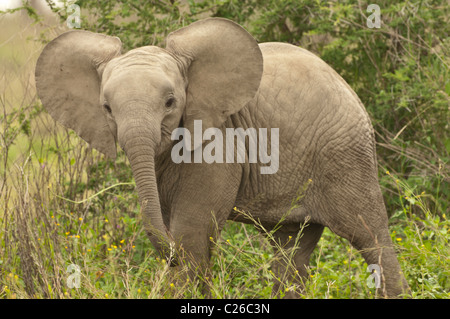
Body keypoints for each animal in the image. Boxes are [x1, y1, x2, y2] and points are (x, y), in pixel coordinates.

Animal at [35, 16, 408, 298]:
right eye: (107, 108)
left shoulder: (218, 140)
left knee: (369, 234)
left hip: (345, 151)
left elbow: (192, 233)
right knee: (291, 248)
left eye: (170, 102)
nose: (166, 256)